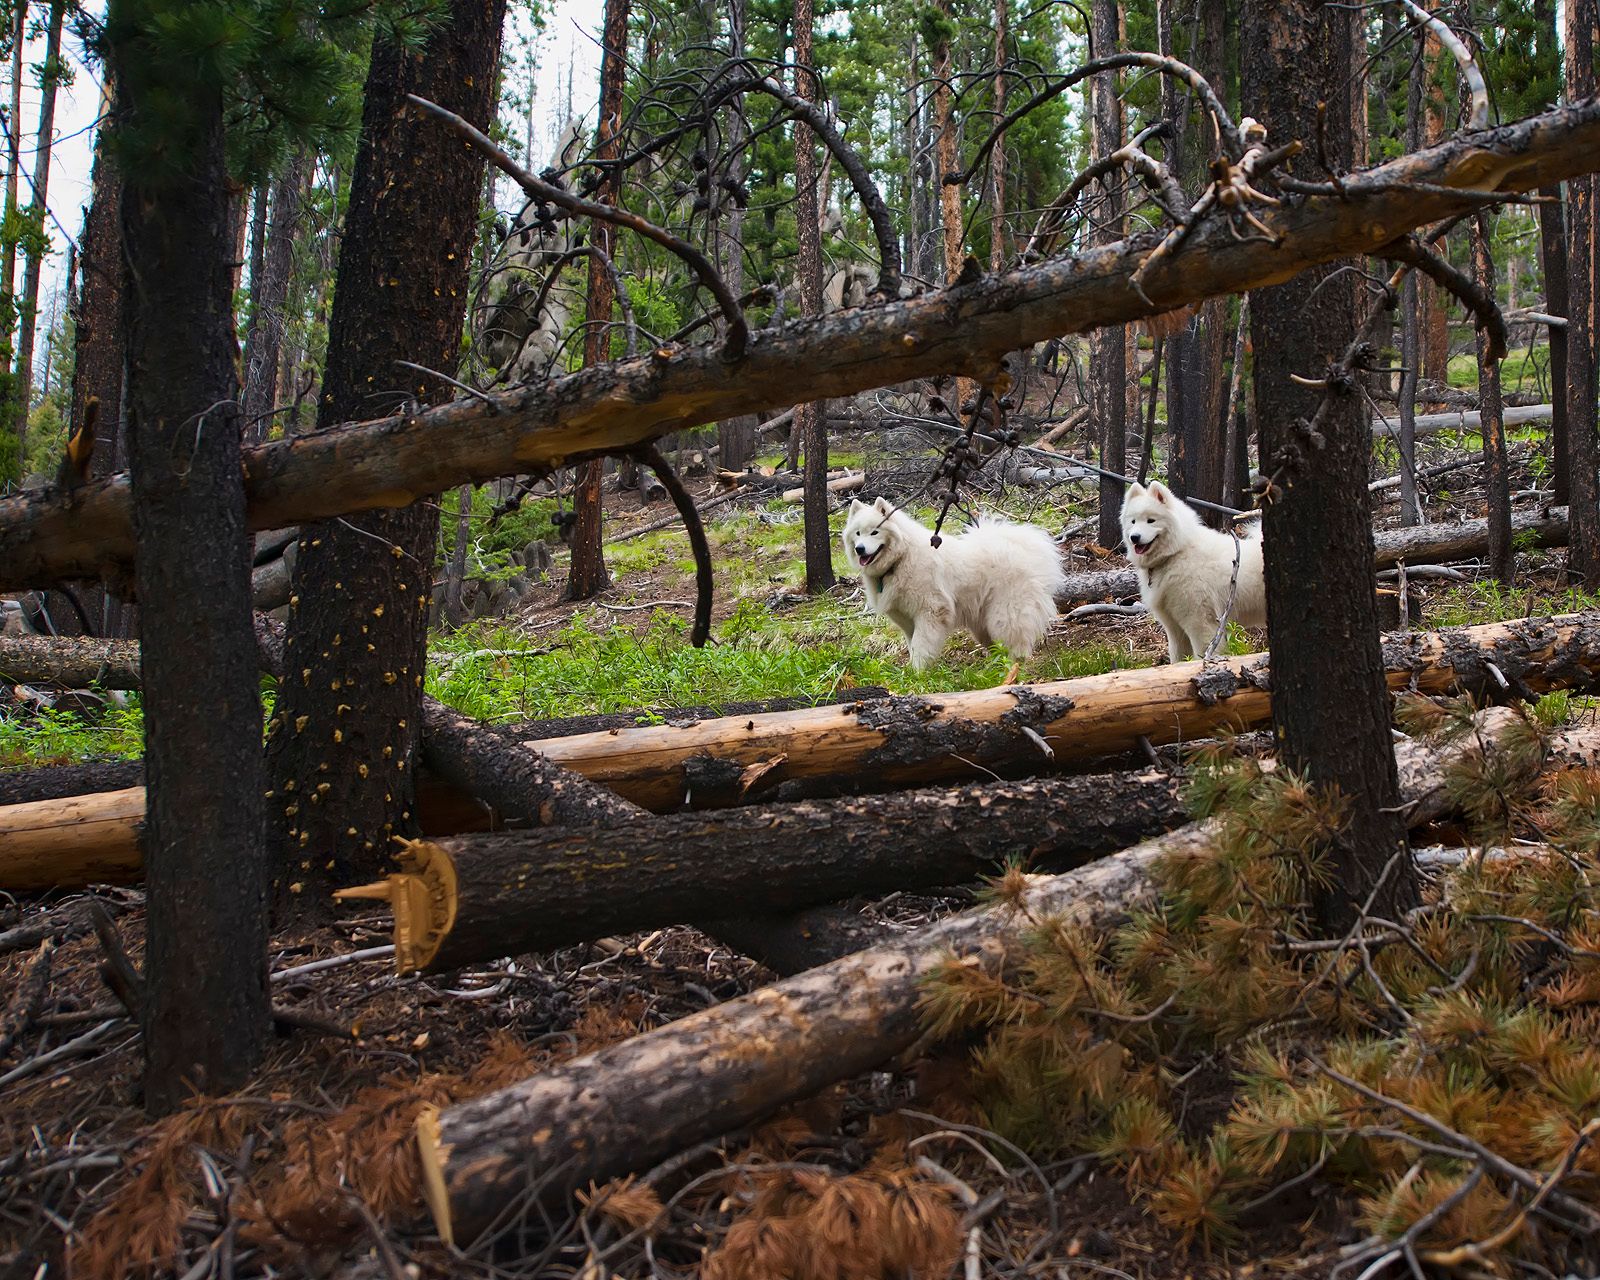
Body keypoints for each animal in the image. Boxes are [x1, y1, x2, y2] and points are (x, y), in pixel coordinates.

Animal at [838, 496, 1062, 668]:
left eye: (875, 531)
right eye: (857, 533)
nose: (859, 549)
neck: (900, 560)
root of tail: (1021, 547)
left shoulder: (930, 611)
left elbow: (921, 646)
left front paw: (918, 673)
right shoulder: (907, 620)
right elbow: (912, 645)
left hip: (1004, 615)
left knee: (1017, 644)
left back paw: (1014, 669)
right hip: (982, 624)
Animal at [1120, 476, 1267, 665]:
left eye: (1151, 520)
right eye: (1133, 521)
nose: (1135, 537)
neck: (1176, 554)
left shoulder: (1200, 621)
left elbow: (1201, 653)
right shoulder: (1174, 628)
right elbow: (1178, 659)